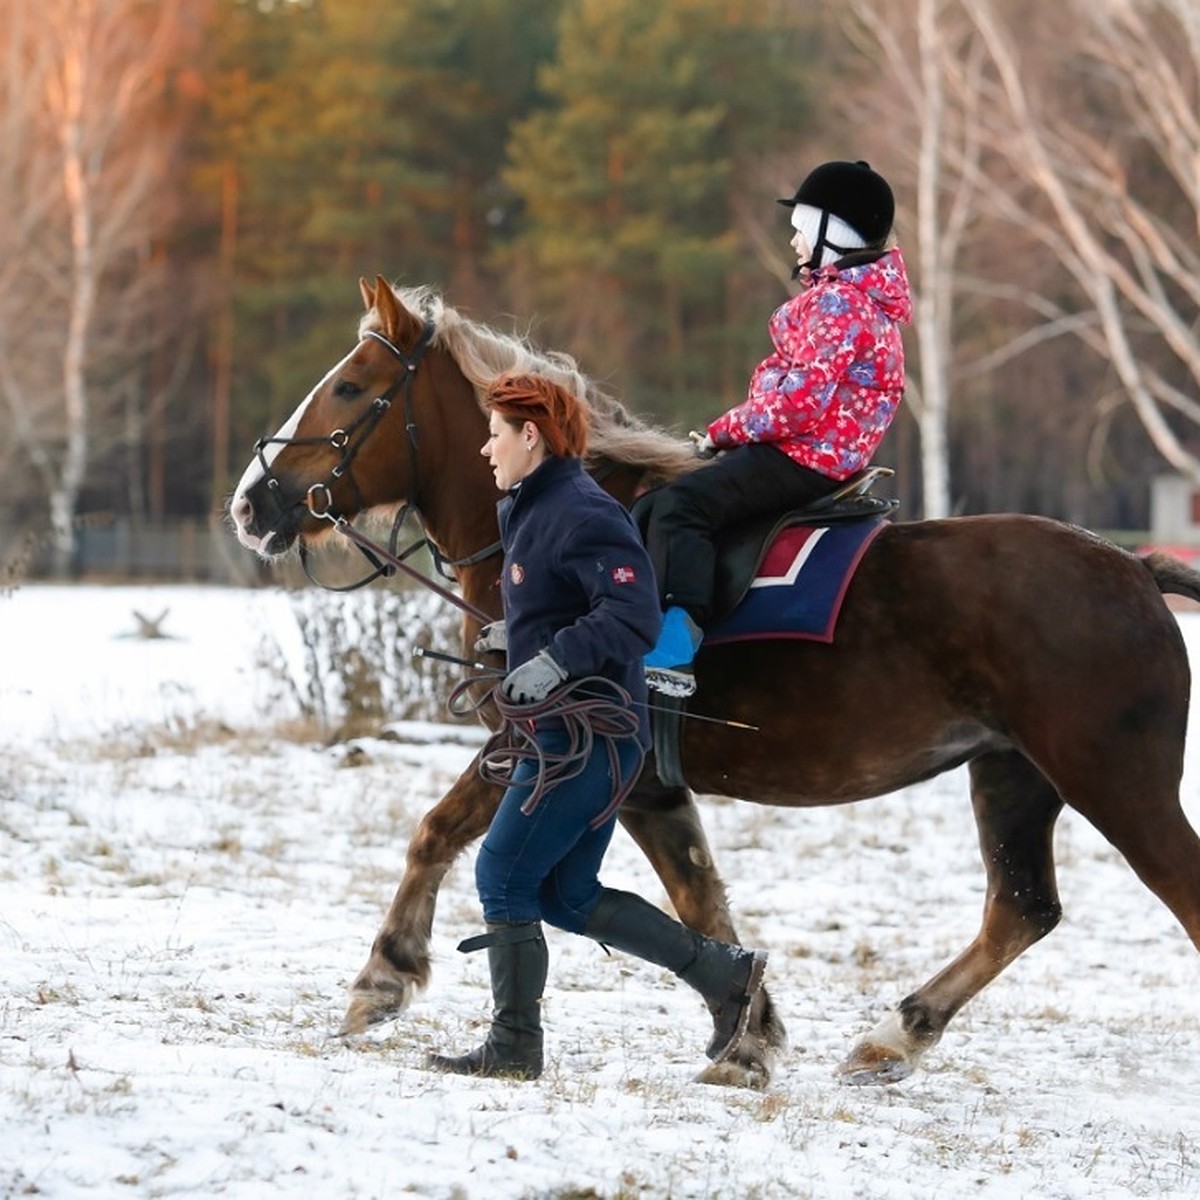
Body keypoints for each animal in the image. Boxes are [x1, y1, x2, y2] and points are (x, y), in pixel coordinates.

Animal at [231, 278, 1200, 1089]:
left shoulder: (544, 744)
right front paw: (750, 1033)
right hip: (1011, 776)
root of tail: (1138, 569)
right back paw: (895, 1037)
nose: (252, 502)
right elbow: (699, 903)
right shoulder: (641, 785)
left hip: (1115, 784)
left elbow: (437, 832)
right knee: (1020, 910)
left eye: (351, 388)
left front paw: (381, 977)